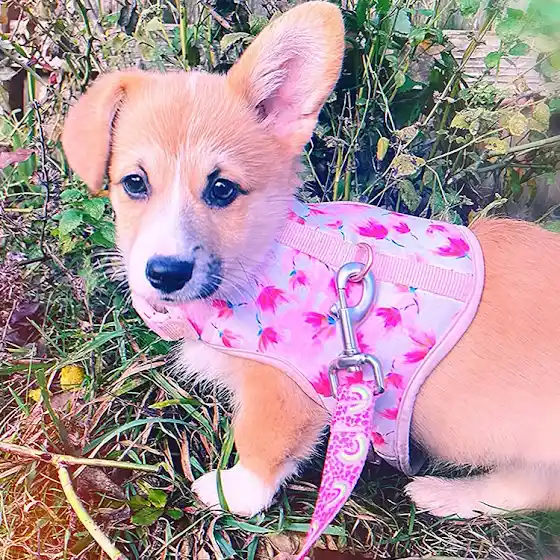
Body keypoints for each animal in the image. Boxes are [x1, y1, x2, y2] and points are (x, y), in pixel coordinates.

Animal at [62, 1, 560, 524]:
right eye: (134, 183)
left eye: (222, 189)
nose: (164, 274)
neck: (263, 257)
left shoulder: (290, 392)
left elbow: (262, 446)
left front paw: (232, 493)